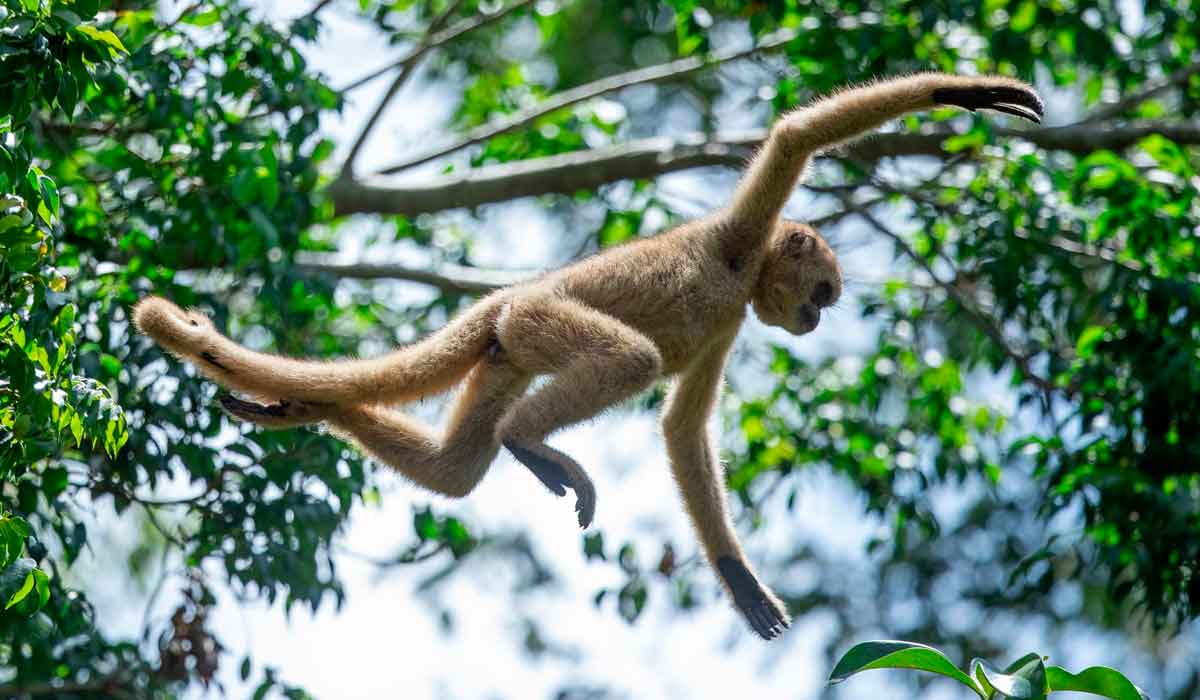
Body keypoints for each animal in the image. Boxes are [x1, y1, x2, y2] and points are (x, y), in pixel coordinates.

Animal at [133, 72, 1041, 638]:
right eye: (820, 294)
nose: (814, 323)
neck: (740, 273)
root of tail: (509, 295)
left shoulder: (732, 319)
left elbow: (682, 428)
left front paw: (739, 578)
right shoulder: (739, 234)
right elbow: (795, 136)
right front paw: (972, 93)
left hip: (507, 350)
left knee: (455, 471)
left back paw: (307, 408)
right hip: (541, 319)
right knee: (623, 361)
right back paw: (528, 444)